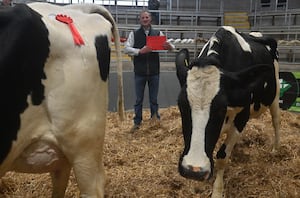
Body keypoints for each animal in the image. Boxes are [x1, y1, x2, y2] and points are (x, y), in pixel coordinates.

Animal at [175, 25, 280, 196]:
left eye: (220, 109)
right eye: (182, 106)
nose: (193, 171)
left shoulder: (241, 118)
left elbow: (222, 156)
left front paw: (217, 191)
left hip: (275, 94)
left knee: (276, 120)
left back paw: (276, 149)